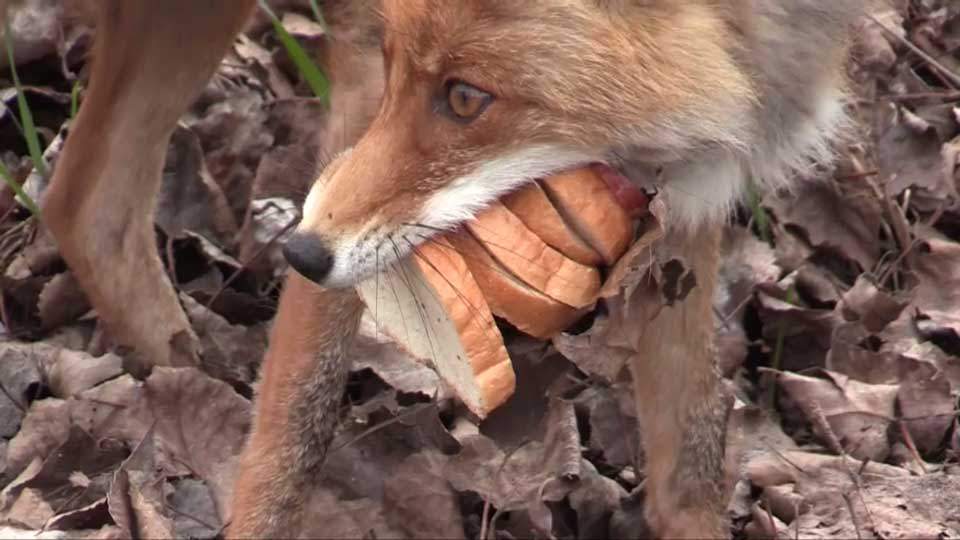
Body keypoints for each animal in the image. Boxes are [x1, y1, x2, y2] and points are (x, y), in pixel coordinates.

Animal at [19, 0, 865, 538]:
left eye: (465, 97)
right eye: (398, 65)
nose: (299, 252)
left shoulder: (692, 186)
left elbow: (688, 455)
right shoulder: (361, 91)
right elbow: (297, 428)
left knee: (84, 206)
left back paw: (179, 368)